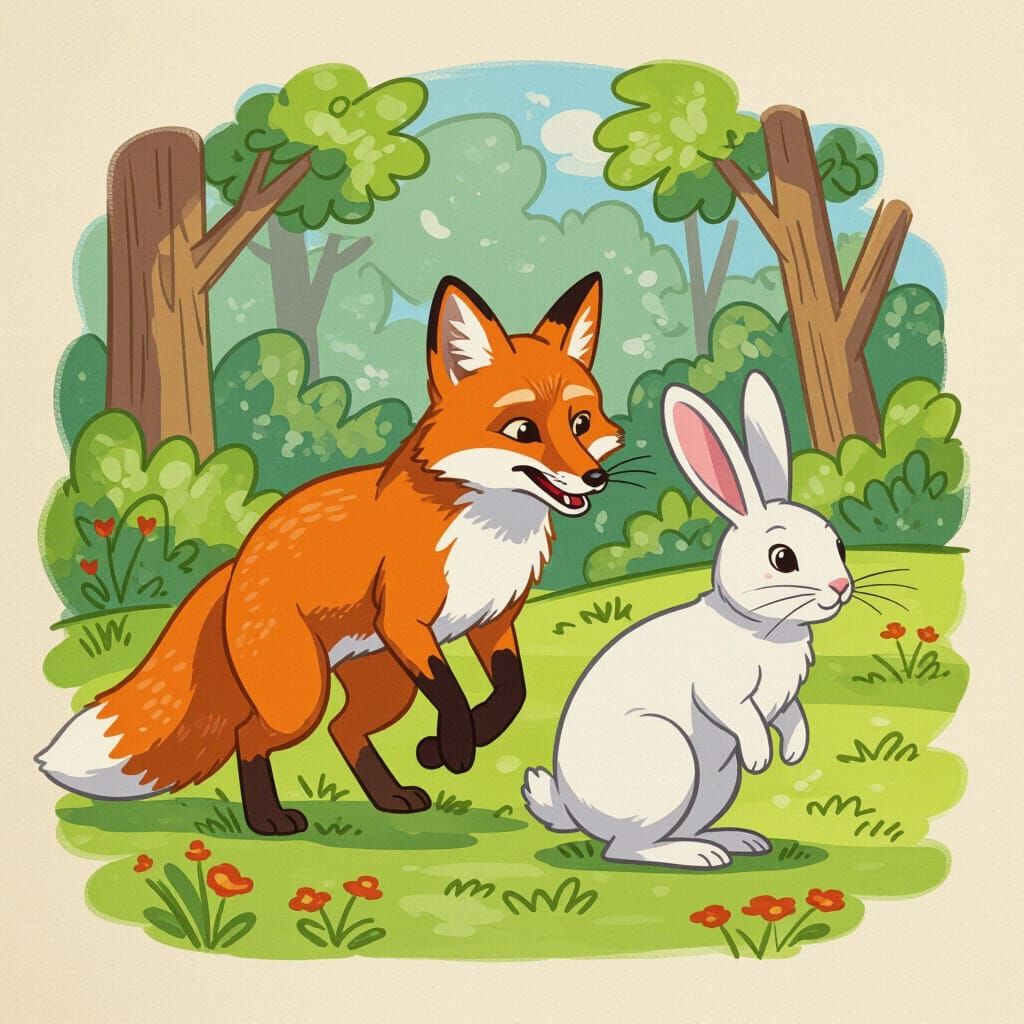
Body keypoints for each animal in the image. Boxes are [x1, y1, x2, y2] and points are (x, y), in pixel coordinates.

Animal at [37, 273, 622, 835]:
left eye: (581, 424)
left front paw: (450, 743)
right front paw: (454, 748)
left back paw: (389, 798)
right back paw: (268, 821)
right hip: (301, 697)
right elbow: (453, 693)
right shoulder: (406, 622)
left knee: (343, 730)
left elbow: (511, 693)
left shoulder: (491, 621)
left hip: (386, 686)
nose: (595, 479)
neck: (491, 530)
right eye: (523, 430)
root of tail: (235, 565)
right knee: (250, 735)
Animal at [522, 371, 854, 869]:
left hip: (713, 785)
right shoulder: (723, 692)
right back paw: (699, 856)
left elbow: (792, 716)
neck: (757, 628)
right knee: (625, 848)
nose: (840, 586)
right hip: (671, 762)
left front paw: (794, 752)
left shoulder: (783, 701)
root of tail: (574, 813)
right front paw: (762, 758)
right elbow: (742, 717)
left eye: (839, 546)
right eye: (783, 558)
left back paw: (736, 841)